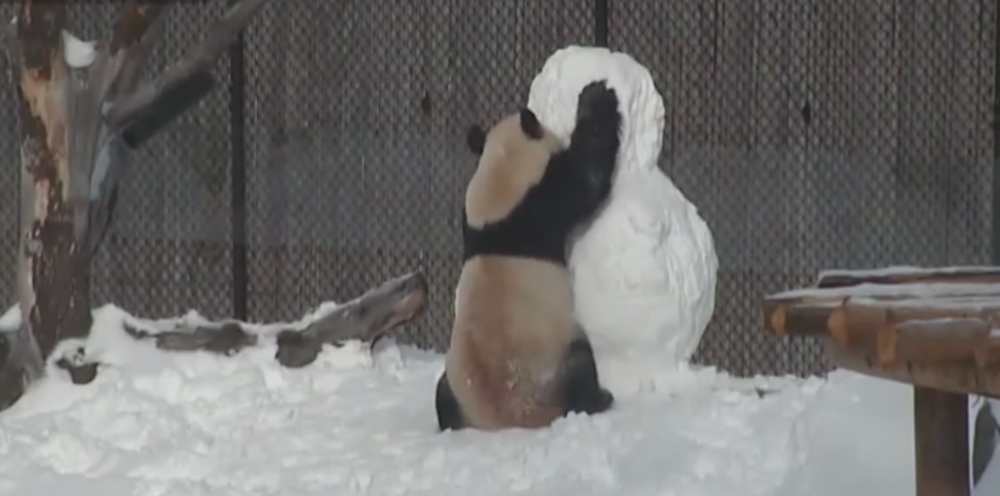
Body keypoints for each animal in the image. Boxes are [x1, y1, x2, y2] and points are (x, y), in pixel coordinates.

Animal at [435, 80, 623, 431]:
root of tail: (509, 418)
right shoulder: (545, 197)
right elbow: (589, 174)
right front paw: (597, 95)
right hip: (554, 356)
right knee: (580, 364)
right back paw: (598, 399)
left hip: (455, 383)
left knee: (441, 395)